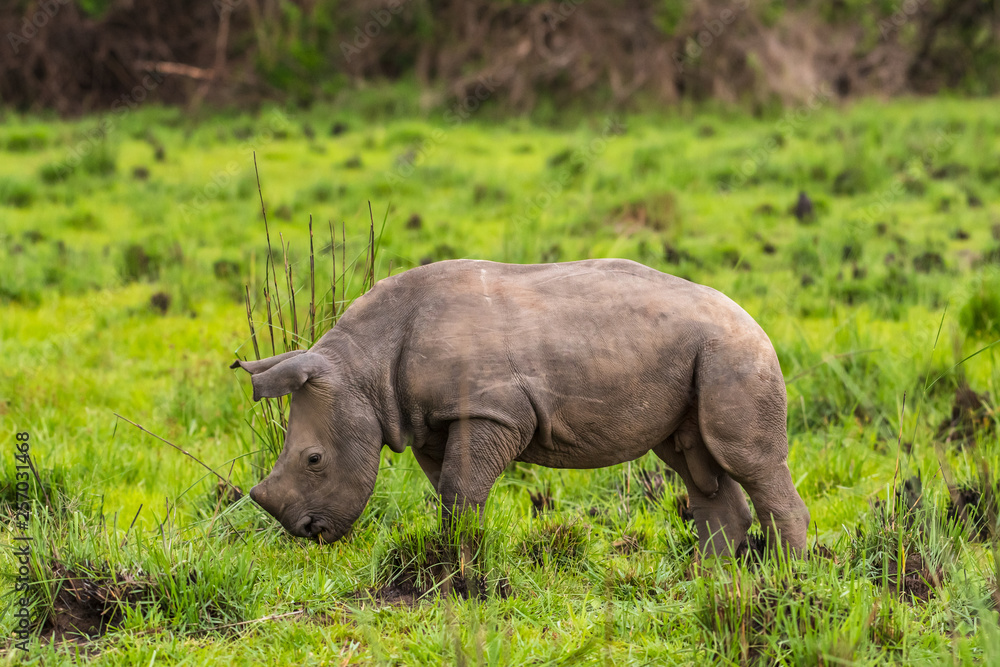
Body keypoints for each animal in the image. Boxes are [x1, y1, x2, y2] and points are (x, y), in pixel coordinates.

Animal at [232, 258, 809, 555]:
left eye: (314, 460)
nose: (307, 532)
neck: (360, 367)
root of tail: (754, 319)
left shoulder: (492, 410)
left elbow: (460, 487)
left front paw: (459, 568)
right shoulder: (432, 420)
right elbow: (450, 490)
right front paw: (457, 553)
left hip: (734, 352)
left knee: (745, 459)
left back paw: (784, 581)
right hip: (702, 354)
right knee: (693, 461)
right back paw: (711, 579)